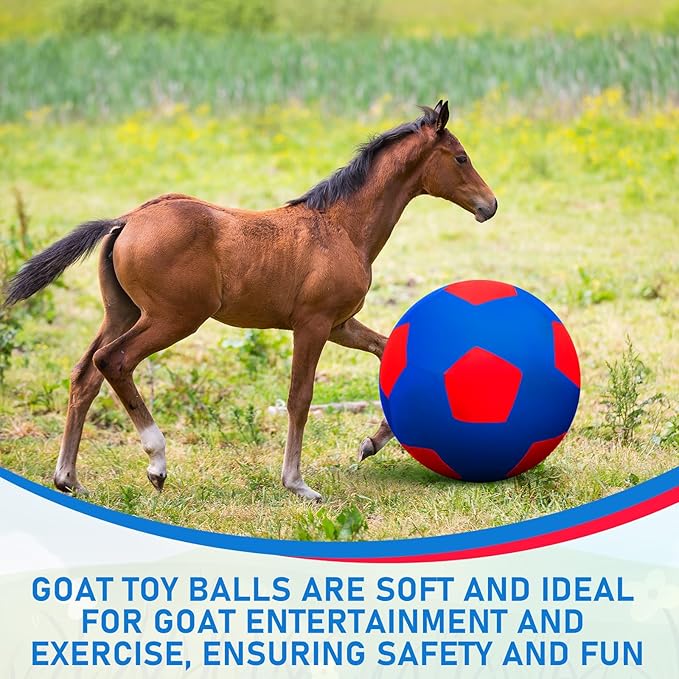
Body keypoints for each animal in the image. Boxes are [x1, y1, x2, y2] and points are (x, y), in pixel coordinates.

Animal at [5, 100, 497, 502]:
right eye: (461, 157)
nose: (489, 205)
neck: (341, 227)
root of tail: (126, 219)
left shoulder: (340, 324)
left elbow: (388, 349)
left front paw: (370, 444)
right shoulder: (313, 324)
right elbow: (300, 397)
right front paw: (297, 484)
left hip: (123, 312)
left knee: (84, 374)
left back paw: (68, 478)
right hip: (173, 318)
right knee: (113, 361)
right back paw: (156, 461)